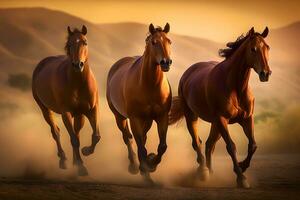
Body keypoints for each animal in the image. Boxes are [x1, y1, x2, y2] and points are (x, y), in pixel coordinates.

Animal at [32, 25, 101, 177]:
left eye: (85, 42)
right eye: (69, 44)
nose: (78, 65)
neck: (78, 84)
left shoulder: (91, 110)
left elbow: (96, 136)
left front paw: (85, 151)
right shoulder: (66, 113)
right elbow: (74, 140)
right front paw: (81, 167)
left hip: (80, 115)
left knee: (76, 132)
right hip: (45, 109)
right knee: (56, 131)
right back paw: (63, 160)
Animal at [106, 23, 172, 183]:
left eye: (169, 41)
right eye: (153, 42)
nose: (166, 62)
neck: (150, 85)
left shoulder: (161, 117)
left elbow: (162, 146)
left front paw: (151, 163)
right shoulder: (135, 119)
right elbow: (141, 147)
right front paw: (146, 173)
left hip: (147, 121)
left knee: (142, 137)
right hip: (120, 117)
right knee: (127, 138)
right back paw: (134, 166)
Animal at [169, 27, 272, 188]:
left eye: (267, 47)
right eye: (253, 49)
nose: (265, 73)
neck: (235, 87)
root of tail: (187, 73)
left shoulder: (247, 119)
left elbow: (253, 145)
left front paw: (242, 166)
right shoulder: (222, 119)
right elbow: (231, 146)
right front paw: (241, 178)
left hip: (214, 124)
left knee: (209, 145)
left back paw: (211, 174)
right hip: (192, 116)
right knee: (197, 143)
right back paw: (203, 172)